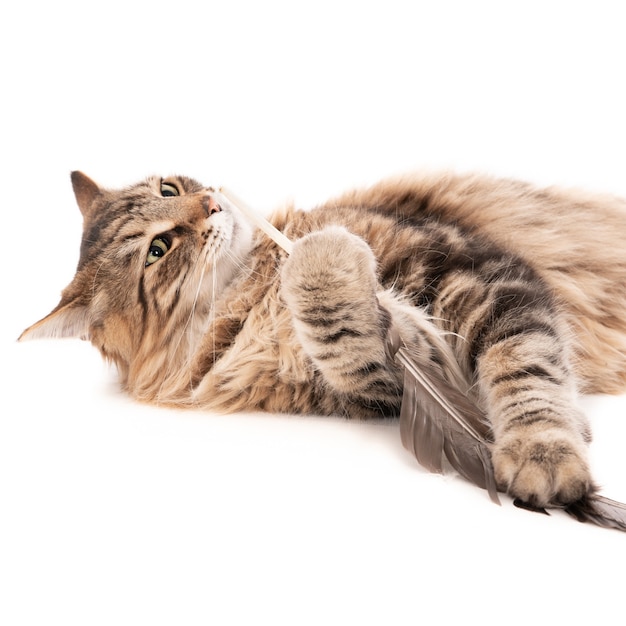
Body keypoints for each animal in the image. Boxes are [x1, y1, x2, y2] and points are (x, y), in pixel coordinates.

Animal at [20, 169, 626, 508]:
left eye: (169, 187)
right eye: (157, 249)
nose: (214, 202)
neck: (253, 294)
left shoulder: (476, 272)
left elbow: (525, 369)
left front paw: (543, 451)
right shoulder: (379, 386)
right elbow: (359, 342)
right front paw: (321, 265)